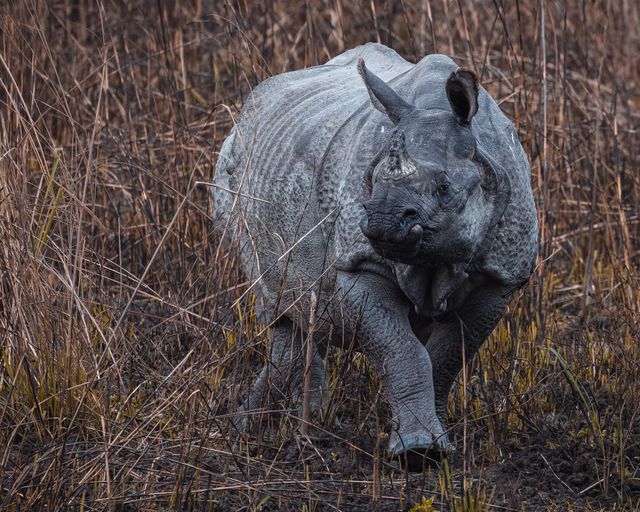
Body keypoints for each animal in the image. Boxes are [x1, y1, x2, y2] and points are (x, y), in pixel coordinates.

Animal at [212, 43, 538, 470]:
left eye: (444, 188)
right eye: (374, 181)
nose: (382, 220)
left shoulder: (499, 277)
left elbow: (447, 357)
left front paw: (432, 451)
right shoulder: (359, 262)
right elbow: (401, 351)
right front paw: (417, 452)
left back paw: (262, 425)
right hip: (233, 169)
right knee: (277, 305)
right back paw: (286, 428)